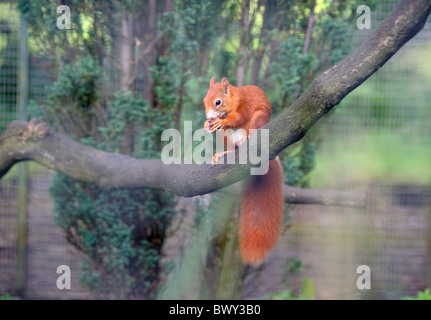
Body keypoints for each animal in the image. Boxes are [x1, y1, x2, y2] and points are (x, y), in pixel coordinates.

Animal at [203, 77, 286, 264]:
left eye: (218, 102)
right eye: (204, 100)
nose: (209, 117)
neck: (233, 99)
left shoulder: (244, 106)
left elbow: (238, 117)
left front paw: (222, 121)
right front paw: (206, 124)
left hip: (257, 121)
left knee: (249, 131)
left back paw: (245, 140)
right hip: (225, 137)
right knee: (231, 149)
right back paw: (222, 154)